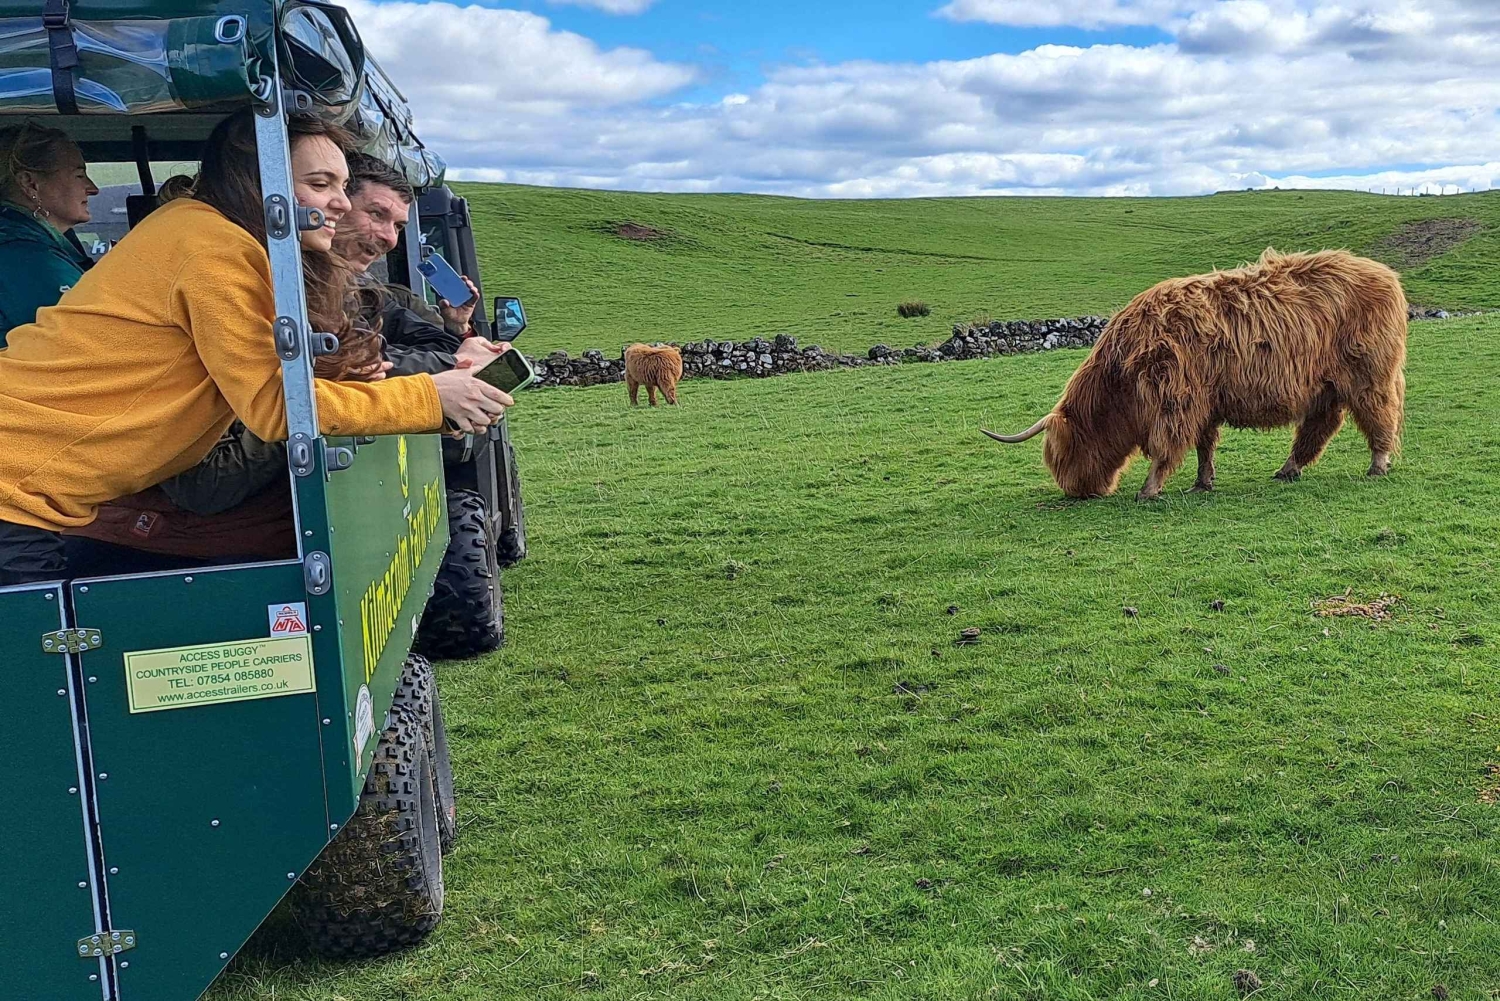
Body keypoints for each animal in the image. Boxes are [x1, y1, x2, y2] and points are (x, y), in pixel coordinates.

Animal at [982, 249, 1408, 501]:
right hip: (1326, 387)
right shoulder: (1202, 402)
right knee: (1320, 426)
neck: (1122, 375)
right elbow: (1204, 444)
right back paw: (1287, 470)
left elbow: (1167, 446)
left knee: (1378, 416)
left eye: (1062, 452)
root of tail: (1384, 274)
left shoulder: (1176, 399)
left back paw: (1377, 466)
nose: (1076, 492)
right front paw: (1202, 482)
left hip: (1369, 375)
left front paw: (1149, 489)